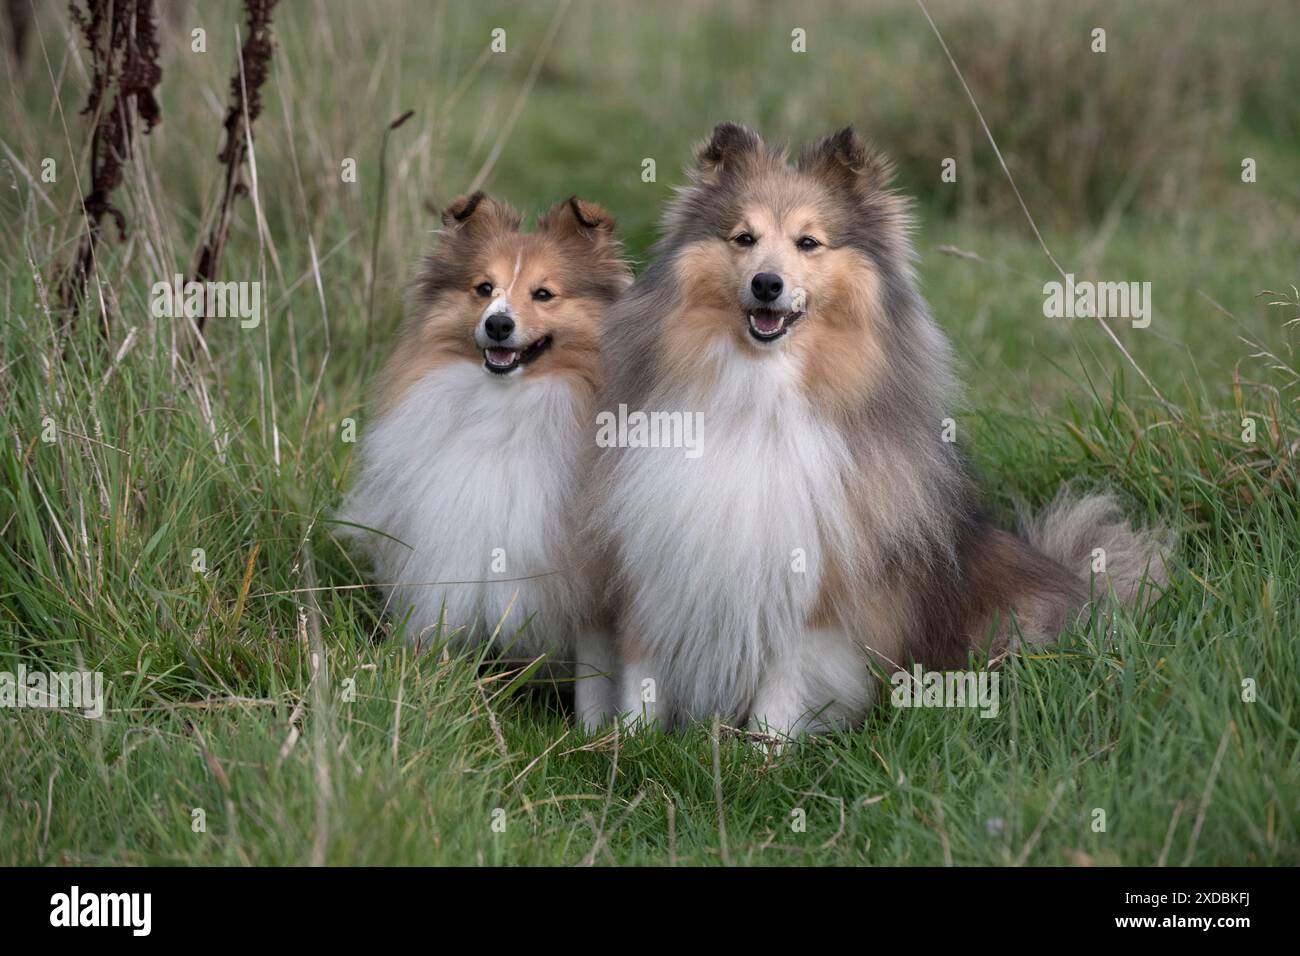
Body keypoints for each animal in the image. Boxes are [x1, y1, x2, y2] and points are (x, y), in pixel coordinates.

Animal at [343, 188, 631, 723]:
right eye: (483, 287)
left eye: (544, 294)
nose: (498, 324)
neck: (507, 408)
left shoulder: (588, 590)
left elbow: (594, 678)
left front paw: (591, 733)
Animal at [585, 123, 1175, 738]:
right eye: (743, 238)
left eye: (808, 243)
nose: (767, 284)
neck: (760, 394)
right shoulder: (652, 562)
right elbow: (643, 673)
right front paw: (627, 745)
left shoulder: (817, 588)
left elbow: (782, 685)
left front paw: (763, 752)